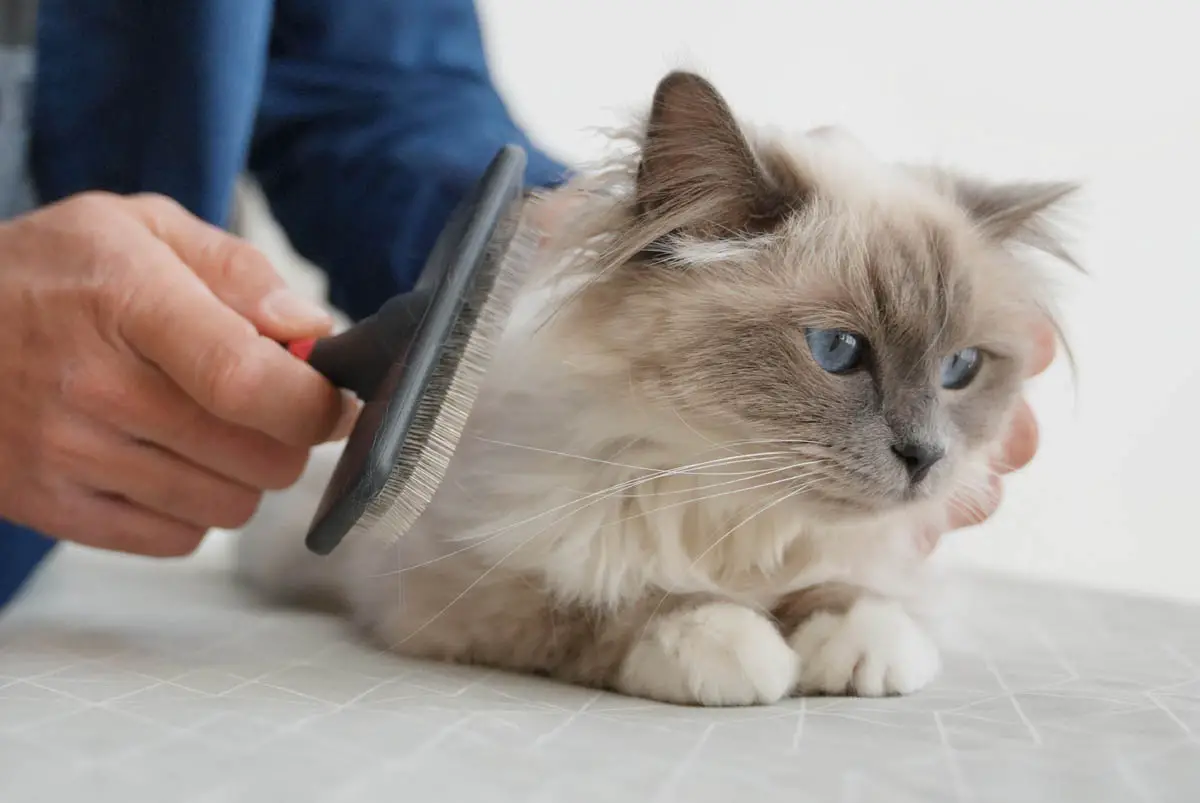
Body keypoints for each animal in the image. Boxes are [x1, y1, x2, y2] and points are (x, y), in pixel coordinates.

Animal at [236, 72, 1080, 705]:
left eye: (960, 368)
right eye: (837, 350)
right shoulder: (458, 583)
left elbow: (843, 583)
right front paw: (728, 643)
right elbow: (605, 602)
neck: (725, 494)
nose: (926, 456)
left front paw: (861, 644)